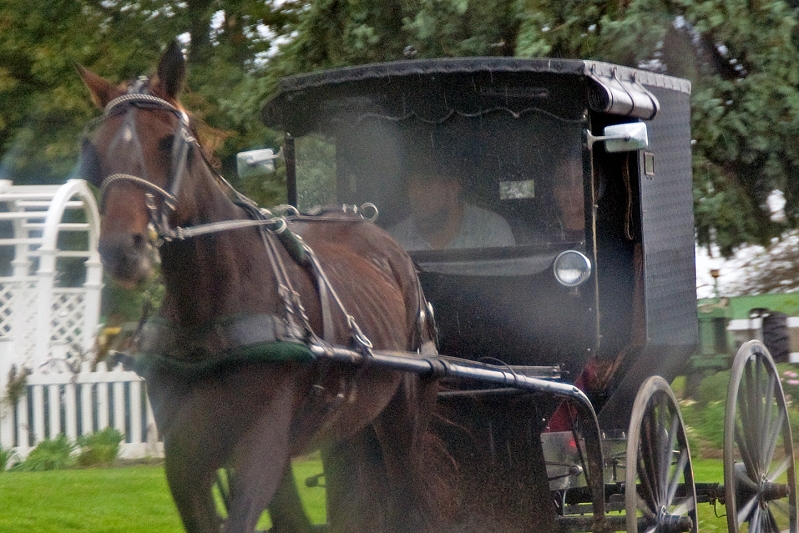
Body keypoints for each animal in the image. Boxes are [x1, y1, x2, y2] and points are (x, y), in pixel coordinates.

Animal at [79, 42, 446, 532]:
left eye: (168, 141)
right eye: (95, 150)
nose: (123, 249)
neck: (210, 310)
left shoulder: (262, 443)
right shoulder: (186, 458)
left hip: (403, 417)